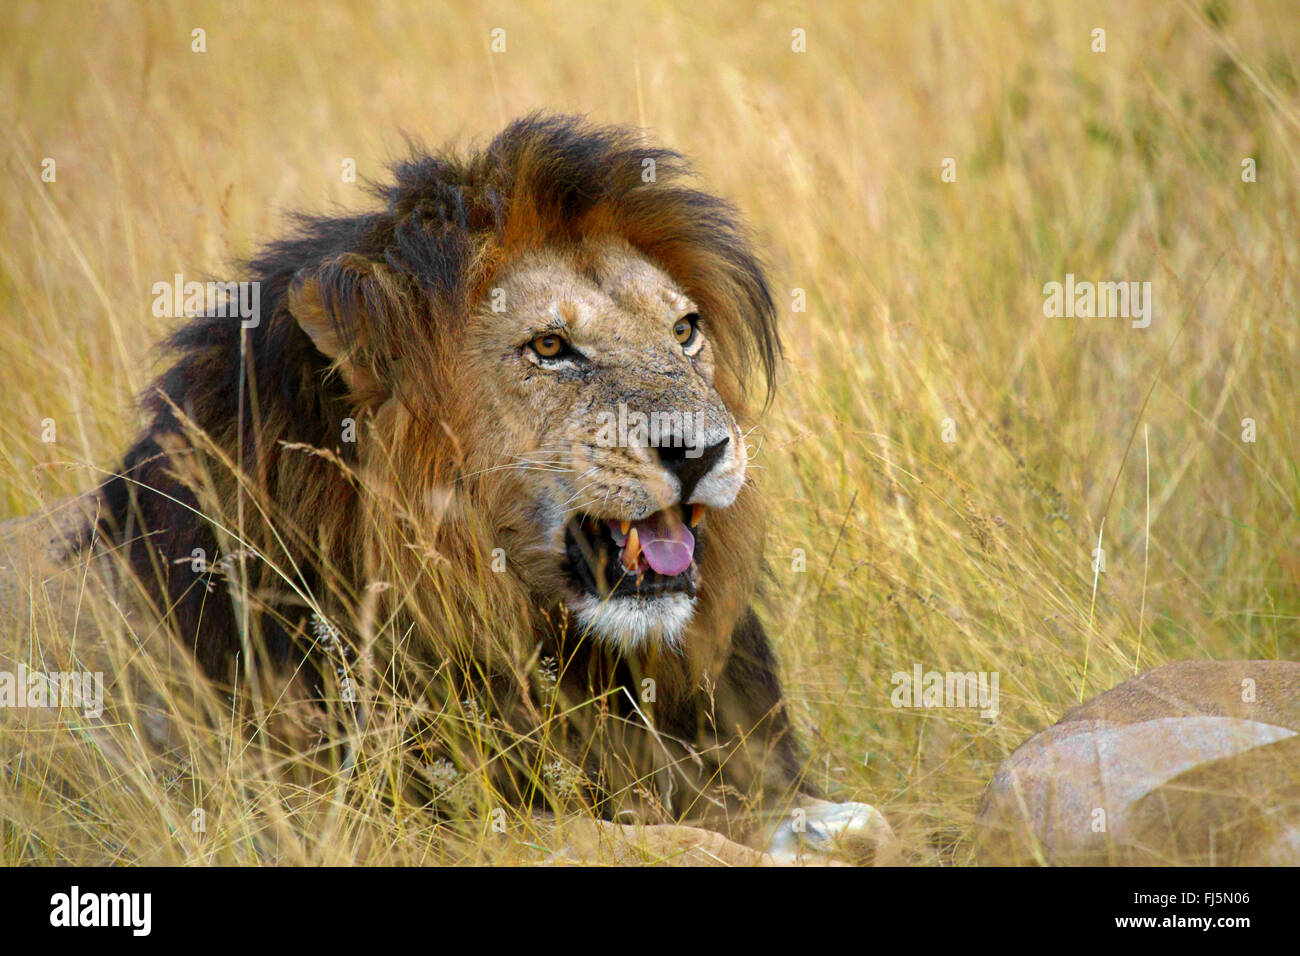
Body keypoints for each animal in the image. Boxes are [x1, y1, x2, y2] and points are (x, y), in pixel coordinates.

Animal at [17, 115, 894, 863]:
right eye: (550, 347)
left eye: (684, 331)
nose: (701, 448)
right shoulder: (371, 825)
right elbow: (657, 843)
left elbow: (847, 817)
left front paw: (836, 832)